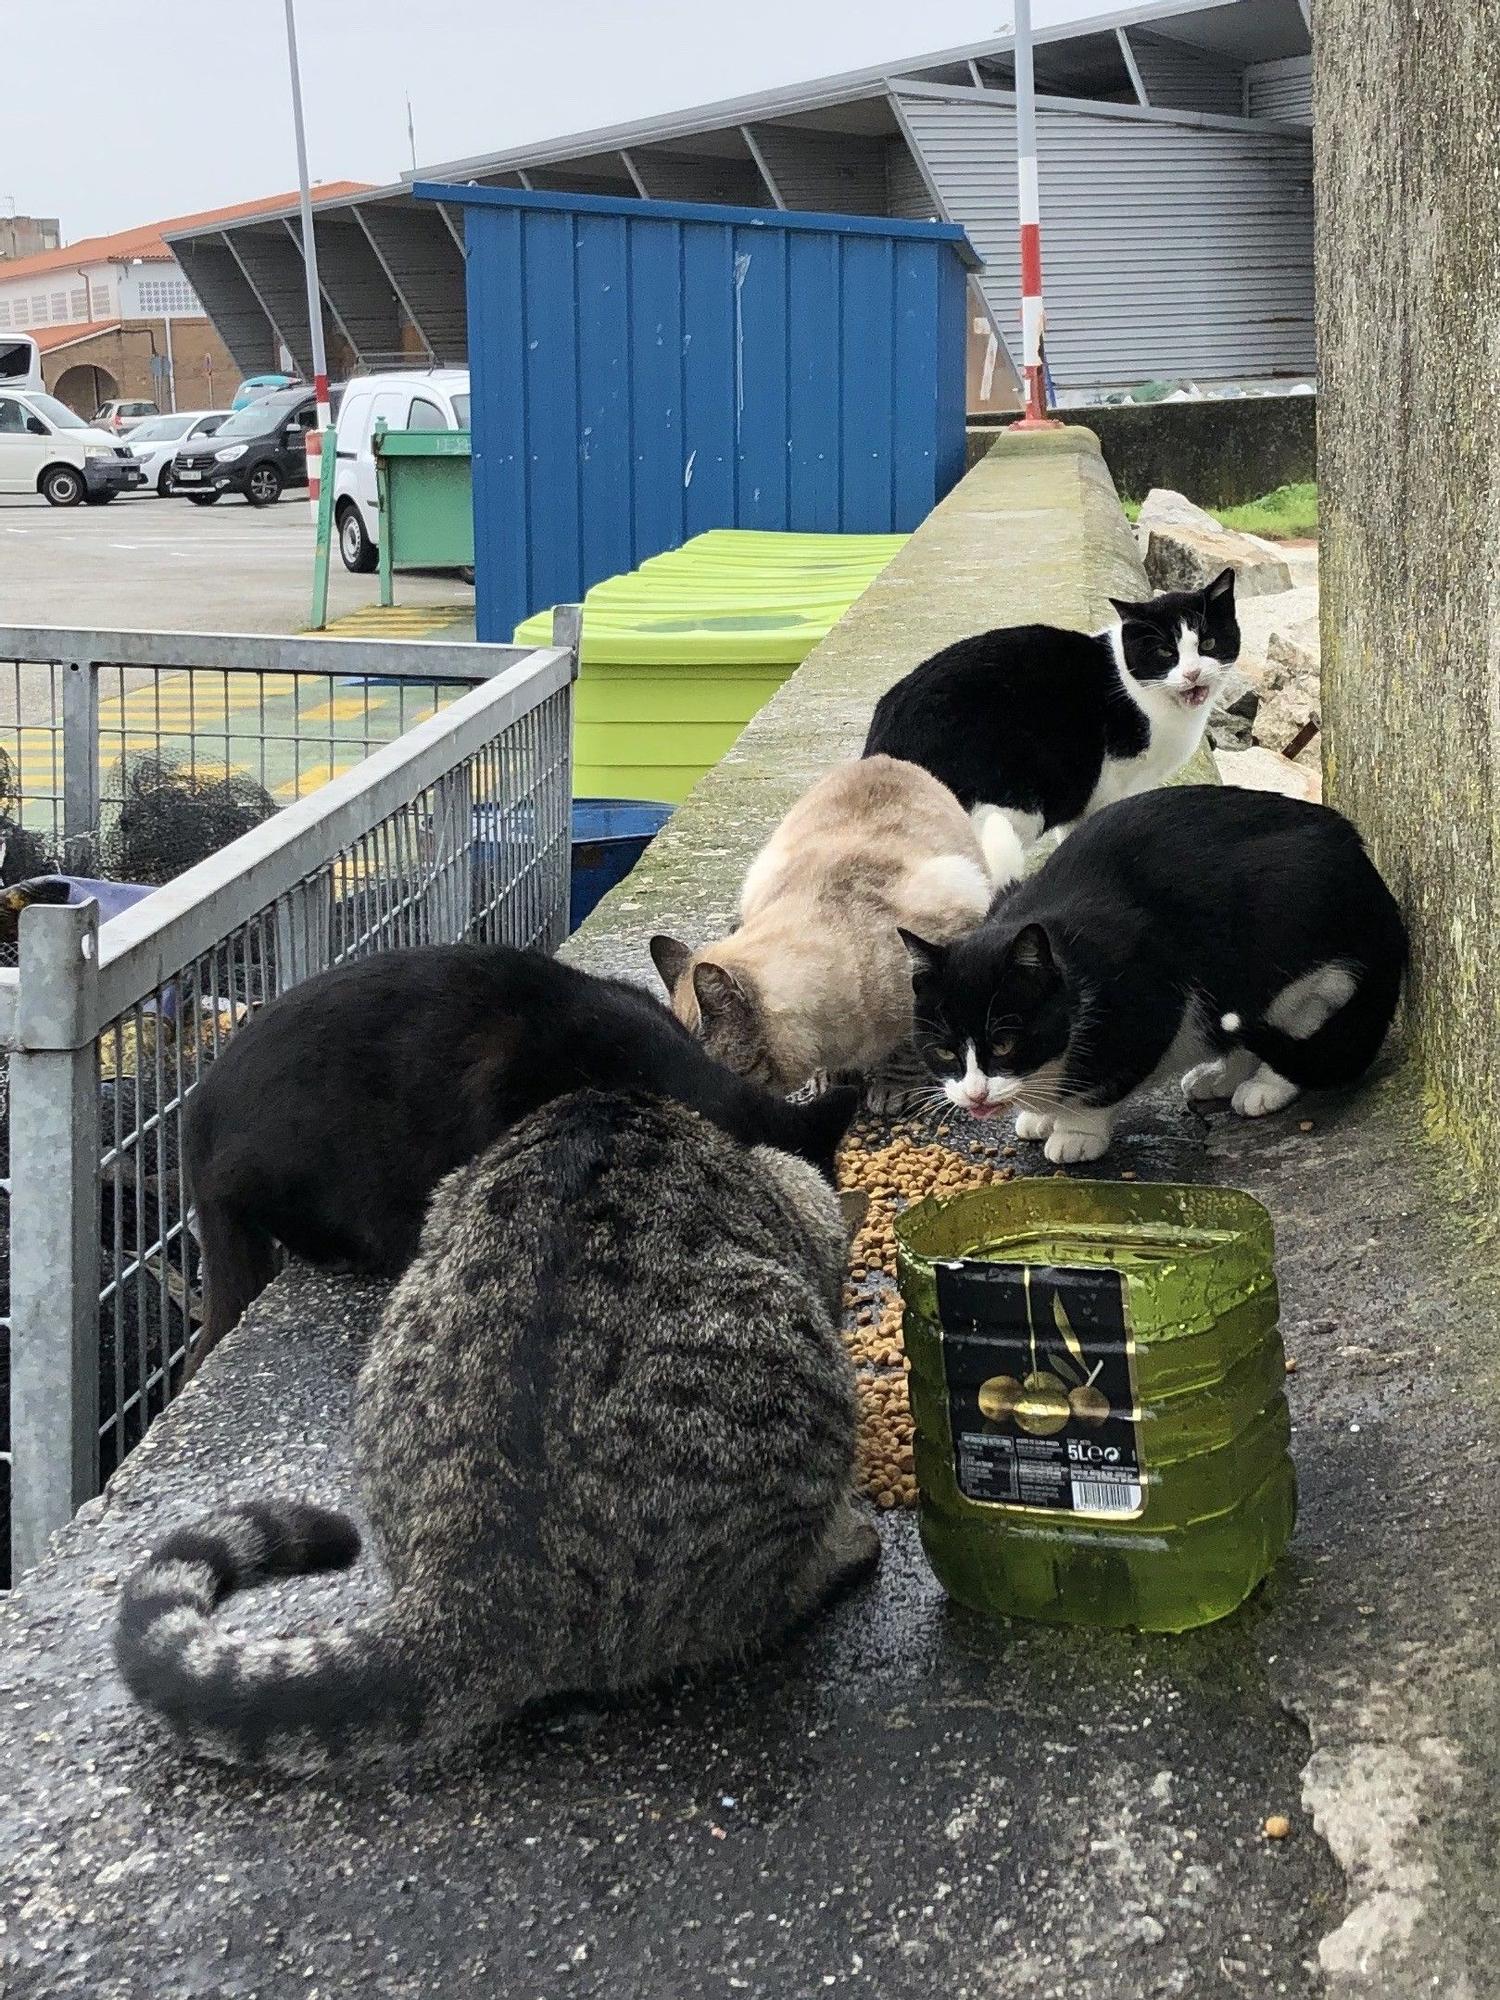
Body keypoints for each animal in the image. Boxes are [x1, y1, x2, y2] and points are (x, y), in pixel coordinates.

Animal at [904, 780, 1408, 1160]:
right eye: (945, 1052)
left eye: (1005, 1044)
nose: (975, 1096)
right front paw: (1040, 1113)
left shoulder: (1150, 996)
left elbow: (1103, 1082)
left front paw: (1075, 1131)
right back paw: (1219, 1079)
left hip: (1286, 939)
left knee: (1300, 1017)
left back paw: (1265, 1087)